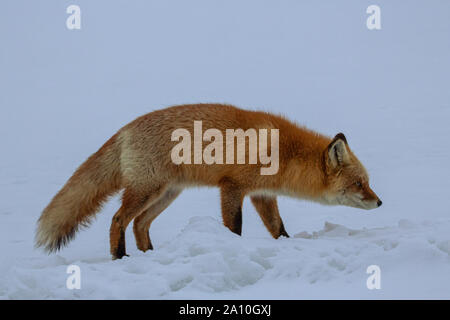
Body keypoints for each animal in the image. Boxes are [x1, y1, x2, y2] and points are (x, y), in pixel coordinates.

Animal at [35, 104, 382, 258]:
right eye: (359, 184)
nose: (379, 202)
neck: (284, 153)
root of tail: (125, 129)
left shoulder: (261, 194)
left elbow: (277, 227)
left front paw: (286, 244)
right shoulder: (232, 186)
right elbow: (235, 227)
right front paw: (232, 247)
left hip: (166, 194)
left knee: (140, 224)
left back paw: (149, 254)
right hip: (147, 191)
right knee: (118, 220)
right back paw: (120, 257)